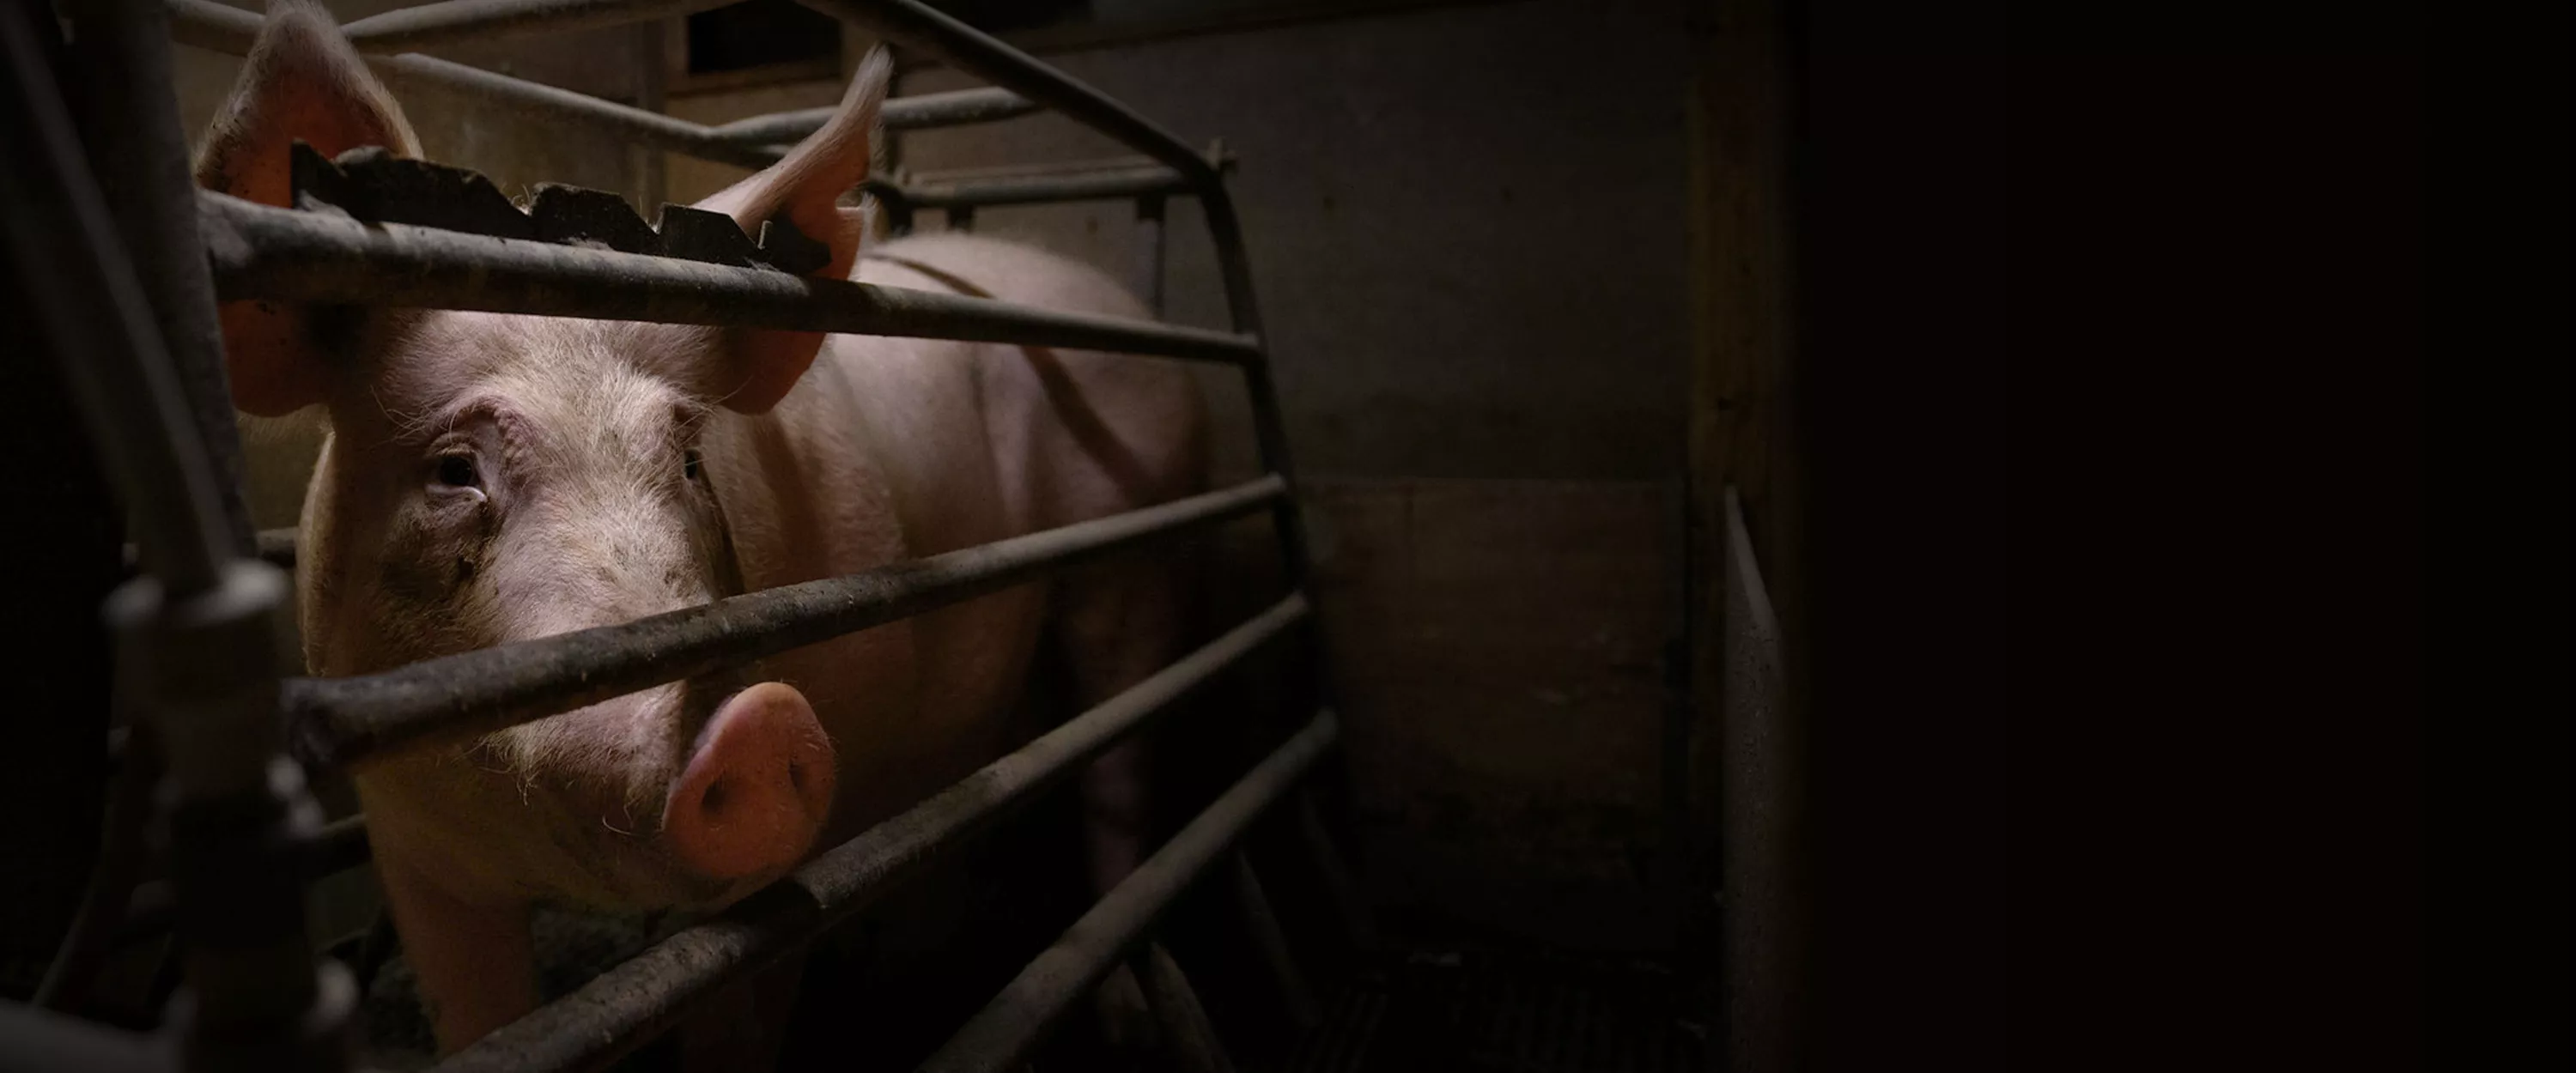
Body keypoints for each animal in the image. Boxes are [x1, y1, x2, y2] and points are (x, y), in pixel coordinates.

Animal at [198, 0, 1206, 1055]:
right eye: (452, 471)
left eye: (687, 458)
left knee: (1120, 770)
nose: (753, 718)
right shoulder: (415, 855)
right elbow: (481, 1017)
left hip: (1145, 545)